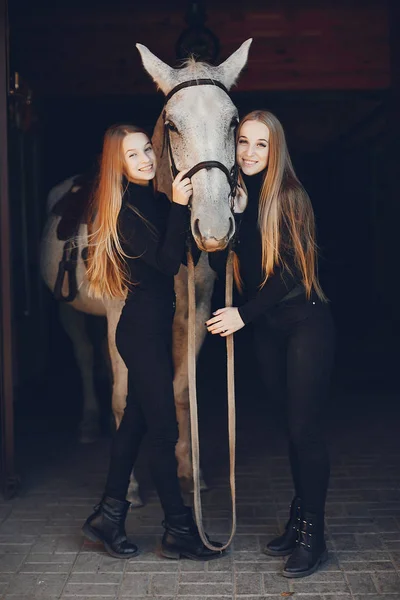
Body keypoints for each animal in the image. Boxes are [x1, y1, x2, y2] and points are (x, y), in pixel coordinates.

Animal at [41, 38, 253, 506]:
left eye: (233, 123)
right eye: (172, 125)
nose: (214, 228)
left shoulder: (194, 315)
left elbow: (180, 393)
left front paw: (190, 473)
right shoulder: (121, 318)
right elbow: (124, 396)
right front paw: (132, 487)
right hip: (68, 310)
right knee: (86, 358)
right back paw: (89, 425)